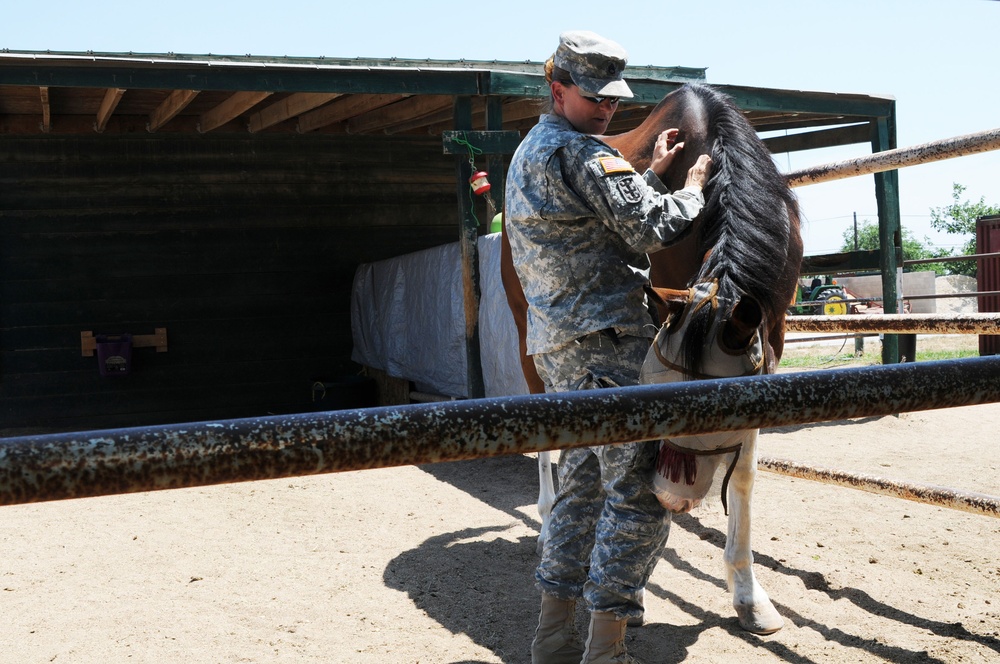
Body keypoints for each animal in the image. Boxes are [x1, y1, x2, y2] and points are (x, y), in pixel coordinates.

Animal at [500, 81, 804, 632]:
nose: (673, 497)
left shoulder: (770, 337)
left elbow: (744, 474)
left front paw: (749, 596)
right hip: (527, 333)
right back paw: (549, 520)